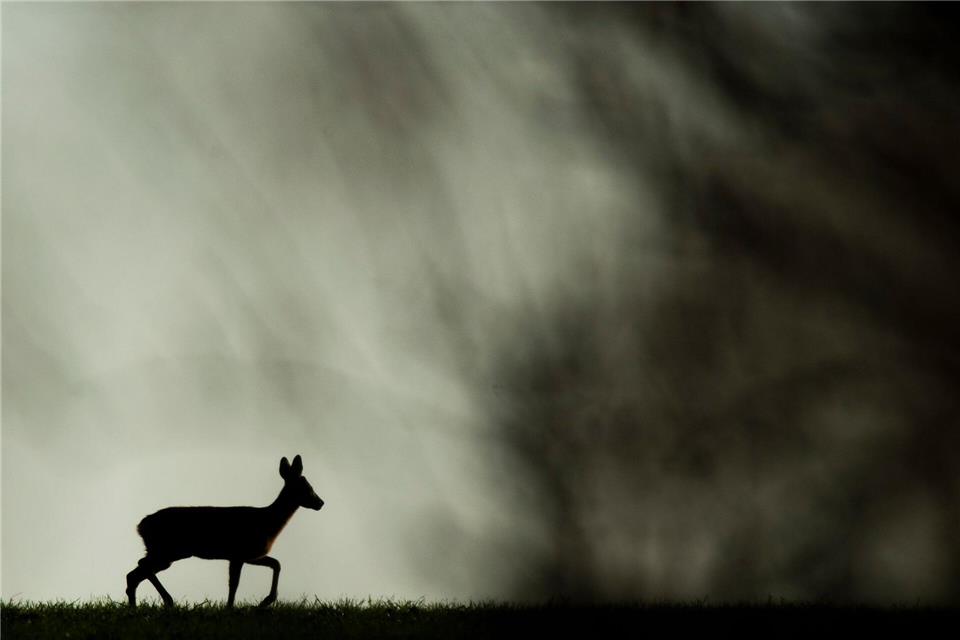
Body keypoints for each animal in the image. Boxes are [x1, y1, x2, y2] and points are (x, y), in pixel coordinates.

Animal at [126, 454, 324, 608]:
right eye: (307, 487)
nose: (321, 503)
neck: (268, 522)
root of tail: (140, 526)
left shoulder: (250, 554)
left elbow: (276, 563)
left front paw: (265, 602)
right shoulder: (239, 553)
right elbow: (234, 583)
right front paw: (232, 608)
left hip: (165, 551)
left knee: (133, 574)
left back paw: (135, 608)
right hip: (168, 550)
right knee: (140, 567)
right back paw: (168, 600)